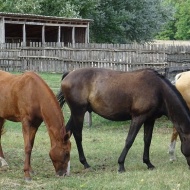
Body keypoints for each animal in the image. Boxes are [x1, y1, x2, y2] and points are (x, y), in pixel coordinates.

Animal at [56, 67, 190, 172]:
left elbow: (147, 140)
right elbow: (129, 140)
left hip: (77, 113)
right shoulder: (138, 117)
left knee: (67, 132)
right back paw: (85, 163)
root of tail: (69, 74)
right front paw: (121, 165)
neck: (158, 89)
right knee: (78, 135)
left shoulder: (150, 119)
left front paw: (148, 163)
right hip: (78, 111)